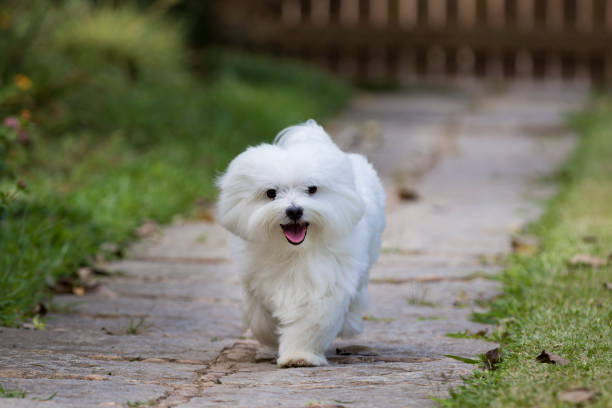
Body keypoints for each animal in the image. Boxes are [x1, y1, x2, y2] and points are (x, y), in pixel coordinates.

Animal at [218, 119, 384, 368]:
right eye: (271, 193)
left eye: (312, 189)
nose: (294, 210)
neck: (292, 252)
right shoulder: (255, 283)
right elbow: (261, 319)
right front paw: (272, 339)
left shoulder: (324, 285)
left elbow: (309, 323)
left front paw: (299, 356)